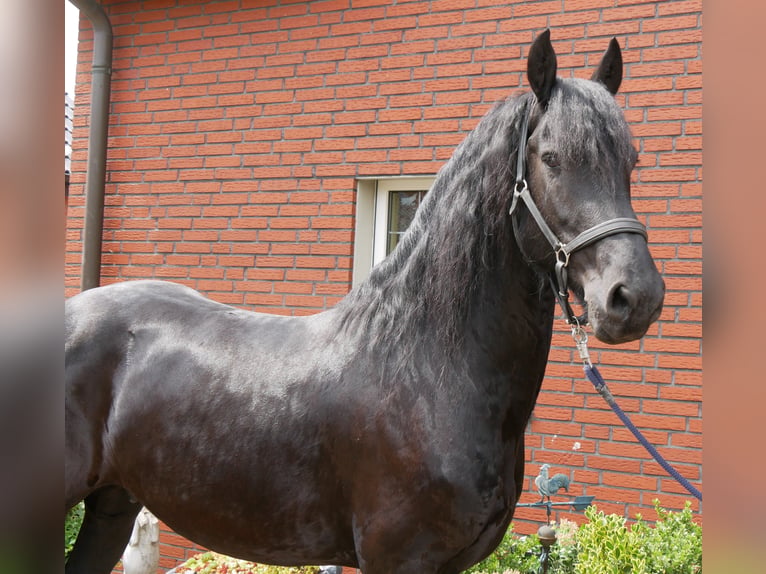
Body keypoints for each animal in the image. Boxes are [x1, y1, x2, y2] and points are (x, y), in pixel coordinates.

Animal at [65, 31, 664, 574]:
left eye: (632, 161)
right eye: (552, 158)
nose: (634, 297)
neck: (427, 372)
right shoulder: (395, 559)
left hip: (113, 506)